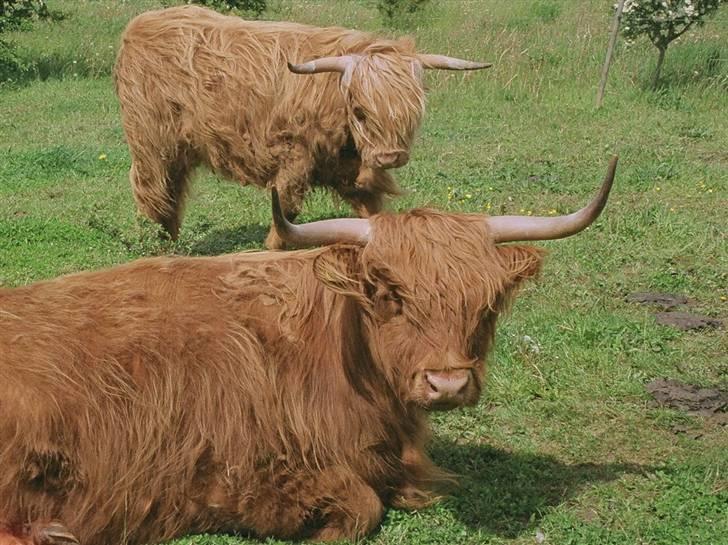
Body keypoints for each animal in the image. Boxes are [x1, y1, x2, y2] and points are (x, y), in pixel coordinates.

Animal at [113, 5, 490, 249]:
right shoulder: (293, 157)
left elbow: (371, 208)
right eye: (360, 111)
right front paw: (274, 245)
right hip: (152, 142)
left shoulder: (353, 171)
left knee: (171, 189)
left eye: (413, 112)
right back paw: (159, 243)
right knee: (153, 188)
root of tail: (140, 24)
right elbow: (288, 208)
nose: (391, 157)